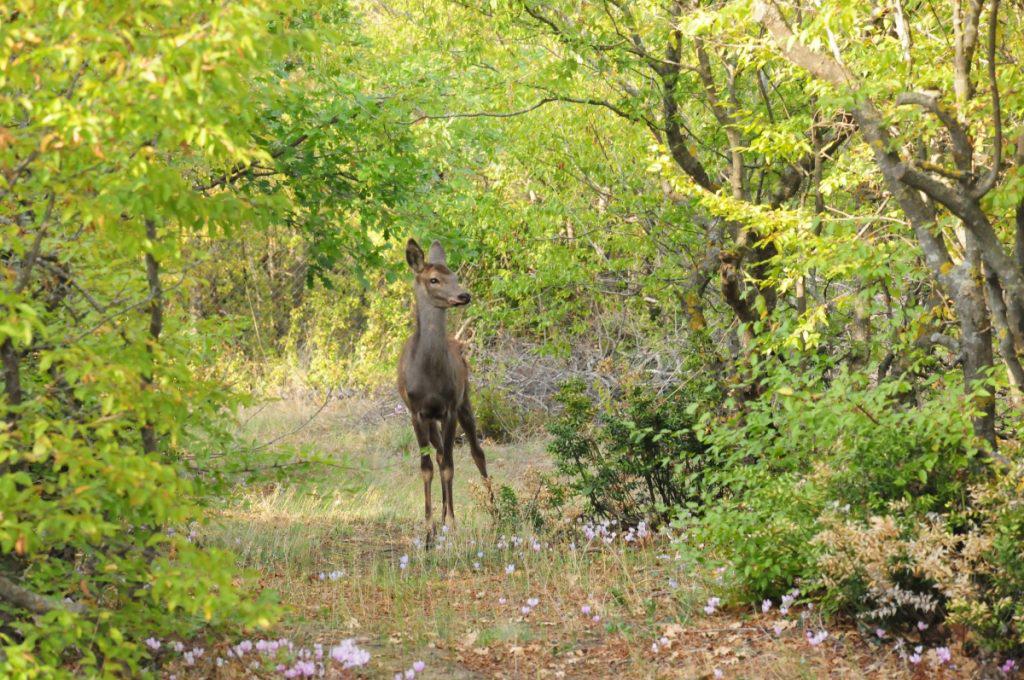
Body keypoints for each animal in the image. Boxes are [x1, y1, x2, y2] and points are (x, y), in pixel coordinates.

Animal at [397, 238, 493, 536]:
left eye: (454, 275)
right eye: (434, 279)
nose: (464, 295)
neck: (429, 376)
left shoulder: (449, 407)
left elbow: (450, 466)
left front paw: (451, 521)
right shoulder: (417, 412)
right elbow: (427, 467)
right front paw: (429, 528)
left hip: (465, 400)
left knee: (477, 452)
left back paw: (495, 511)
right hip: (432, 419)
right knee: (439, 455)